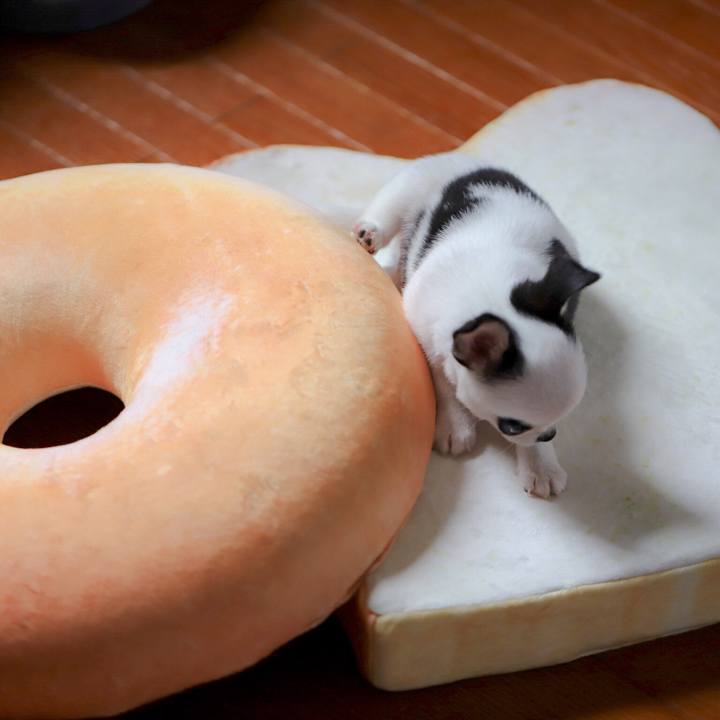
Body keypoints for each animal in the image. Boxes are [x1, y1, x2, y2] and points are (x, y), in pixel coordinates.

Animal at [352, 153, 600, 499]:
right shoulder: (426, 339)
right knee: (387, 215)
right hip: (408, 187)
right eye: (511, 426)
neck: (491, 297)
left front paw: (540, 464)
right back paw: (370, 234)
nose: (548, 435)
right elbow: (443, 382)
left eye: (556, 426)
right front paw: (456, 424)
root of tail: (464, 158)